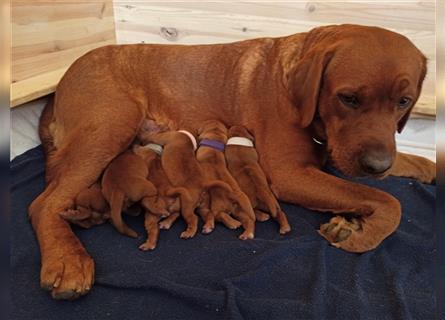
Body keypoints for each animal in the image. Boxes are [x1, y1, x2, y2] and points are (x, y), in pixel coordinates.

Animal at [31, 24, 434, 300]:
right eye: (348, 98)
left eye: (403, 101)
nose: (377, 167)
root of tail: (63, 78)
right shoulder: (290, 173)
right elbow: (390, 202)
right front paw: (357, 231)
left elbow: (408, 164)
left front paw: (427, 169)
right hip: (110, 125)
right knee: (43, 203)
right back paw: (67, 260)